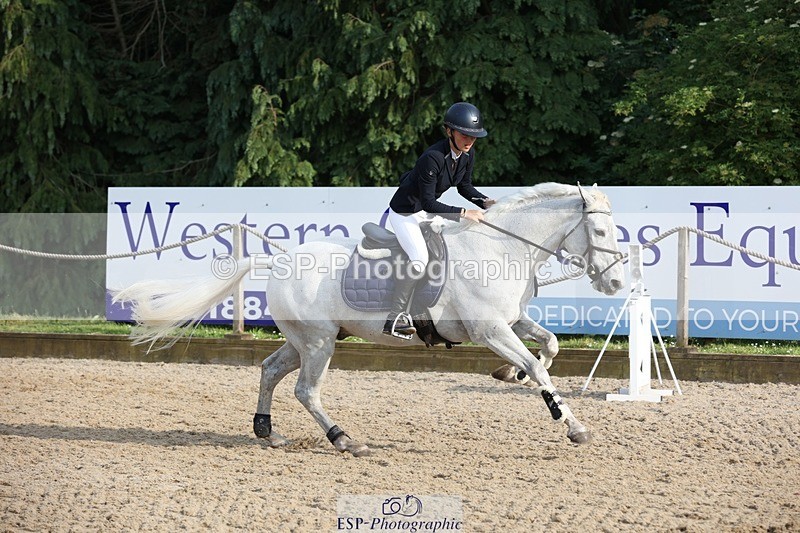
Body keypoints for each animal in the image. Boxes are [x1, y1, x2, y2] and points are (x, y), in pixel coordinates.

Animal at [113, 182, 625, 456]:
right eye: (599, 231)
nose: (617, 283)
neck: (500, 249)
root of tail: (275, 261)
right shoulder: (491, 330)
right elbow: (540, 365)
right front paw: (572, 425)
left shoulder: (511, 323)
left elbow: (549, 347)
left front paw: (509, 374)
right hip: (319, 343)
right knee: (306, 390)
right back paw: (344, 440)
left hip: (305, 340)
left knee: (271, 370)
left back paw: (268, 431)